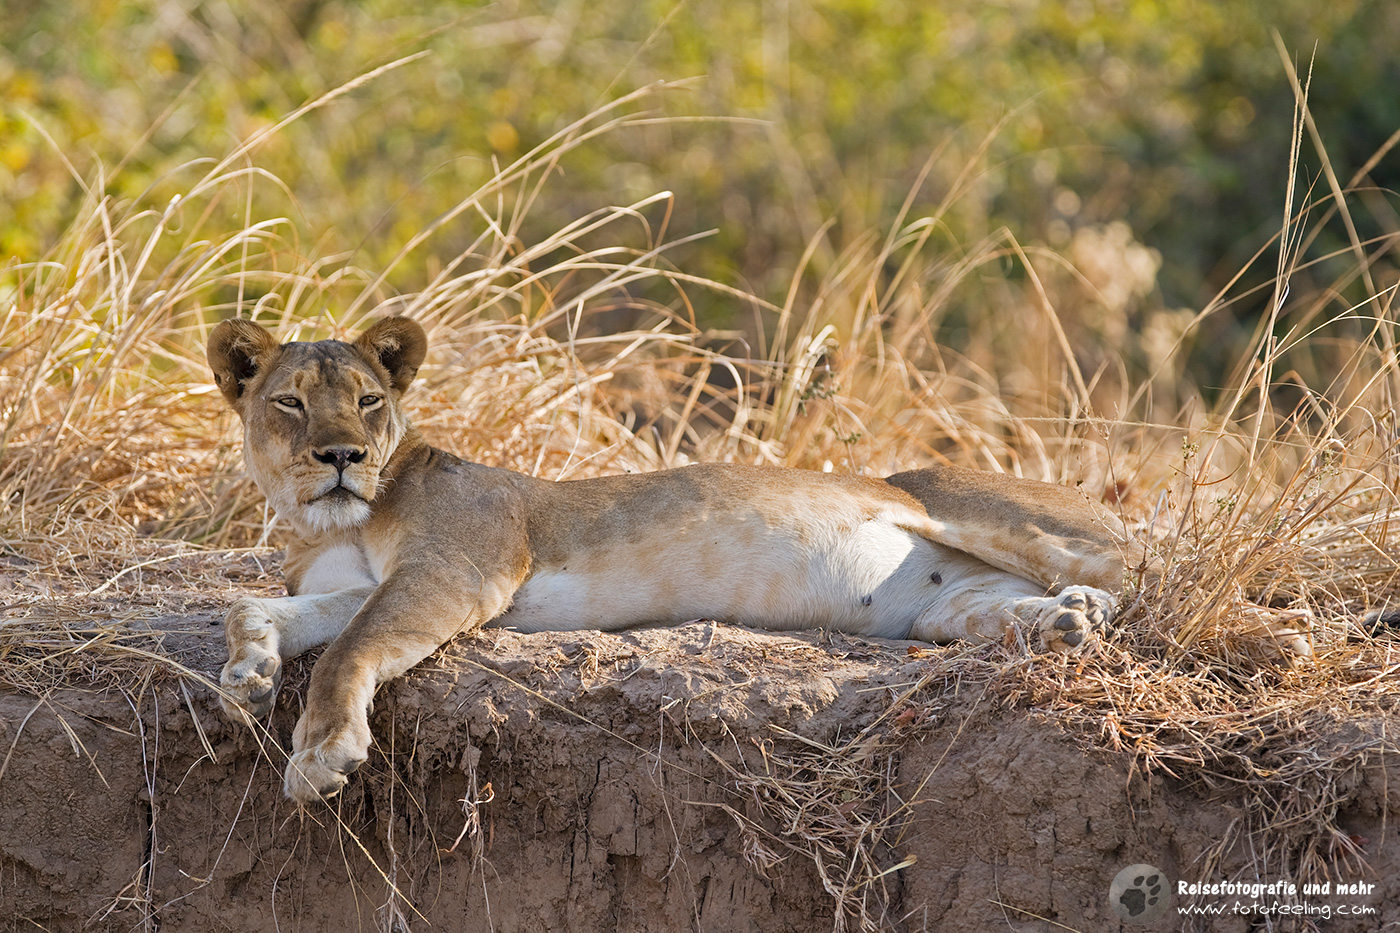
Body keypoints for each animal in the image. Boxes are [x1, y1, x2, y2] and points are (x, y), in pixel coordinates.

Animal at [208, 316, 1136, 803]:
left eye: (369, 400)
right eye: (290, 402)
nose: (341, 456)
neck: (330, 522)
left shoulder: (459, 568)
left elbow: (349, 648)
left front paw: (321, 751)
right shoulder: (365, 584)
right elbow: (259, 608)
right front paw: (247, 677)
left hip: (994, 513)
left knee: (1136, 570)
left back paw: (1095, 601)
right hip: (951, 601)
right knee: (1005, 604)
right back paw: (1064, 622)